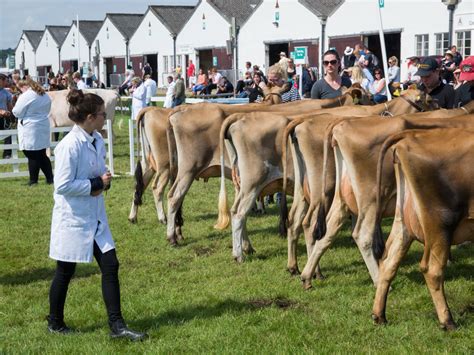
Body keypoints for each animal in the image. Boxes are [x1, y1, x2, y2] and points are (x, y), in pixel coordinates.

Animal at [298, 104, 472, 290]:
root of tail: (340, 124)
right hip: (371, 198)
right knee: (362, 235)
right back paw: (378, 280)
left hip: (342, 198)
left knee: (328, 230)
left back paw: (307, 276)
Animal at [374, 128, 474, 330]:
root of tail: (410, 134)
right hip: (440, 222)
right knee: (432, 270)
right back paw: (448, 321)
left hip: (403, 223)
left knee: (389, 261)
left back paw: (379, 315)